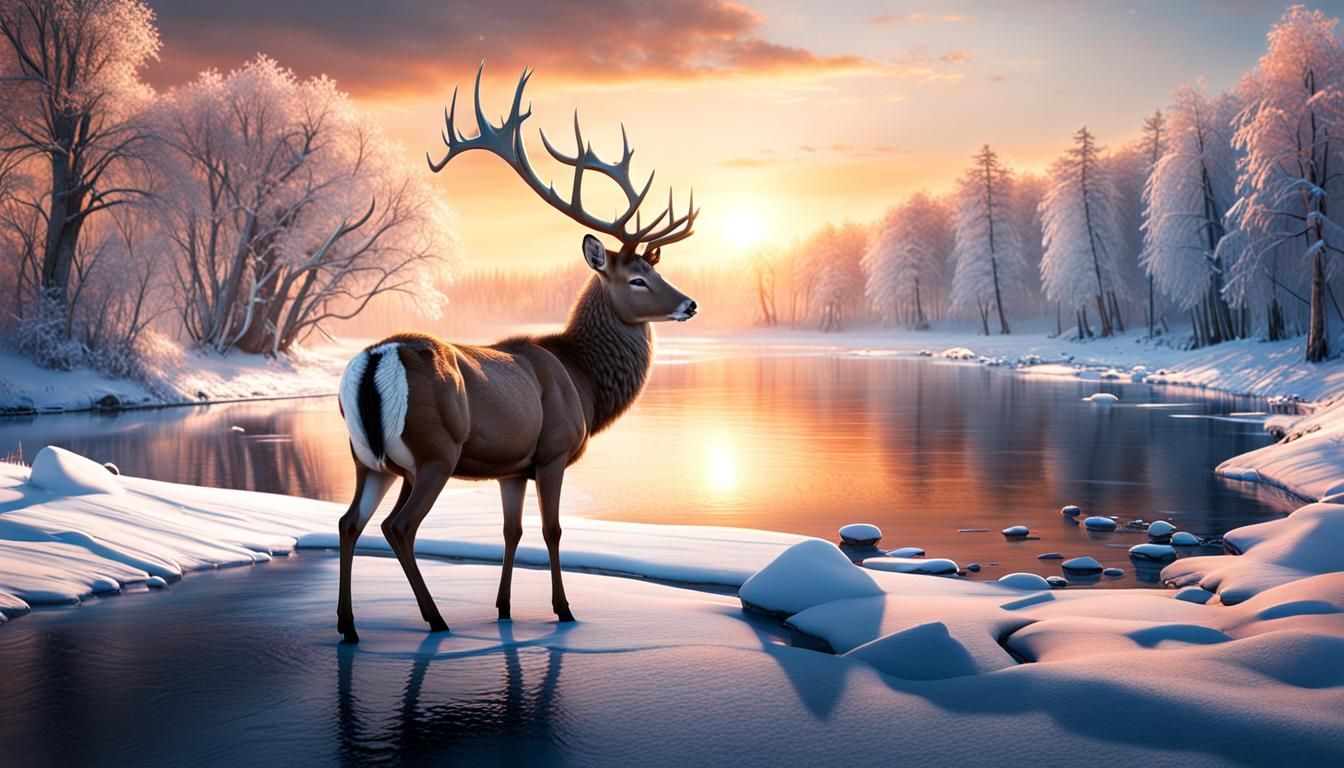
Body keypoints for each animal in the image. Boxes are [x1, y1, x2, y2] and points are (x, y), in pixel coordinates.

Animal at [333, 66, 698, 643]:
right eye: (637, 280)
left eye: (655, 271)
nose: (689, 303)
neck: (583, 381)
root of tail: (375, 359)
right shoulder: (552, 451)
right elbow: (552, 530)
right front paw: (564, 609)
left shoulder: (512, 467)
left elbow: (512, 531)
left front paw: (503, 607)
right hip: (435, 453)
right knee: (398, 526)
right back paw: (435, 619)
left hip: (366, 458)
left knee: (349, 522)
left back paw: (348, 626)